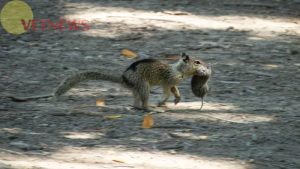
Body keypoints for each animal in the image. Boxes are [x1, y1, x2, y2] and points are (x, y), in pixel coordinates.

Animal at [9, 53, 211, 110]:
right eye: (197, 62)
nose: (207, 66)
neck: (178, 69)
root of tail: (124, 78)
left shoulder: (174, 82)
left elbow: (175, 90)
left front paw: (177, 99)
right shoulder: (168, 80)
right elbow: (167, 90)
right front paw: (164, 101)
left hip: (137, 88)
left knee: (135, 102)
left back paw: (138, 107)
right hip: (143, 86)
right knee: (143, 101)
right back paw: (151, 108)